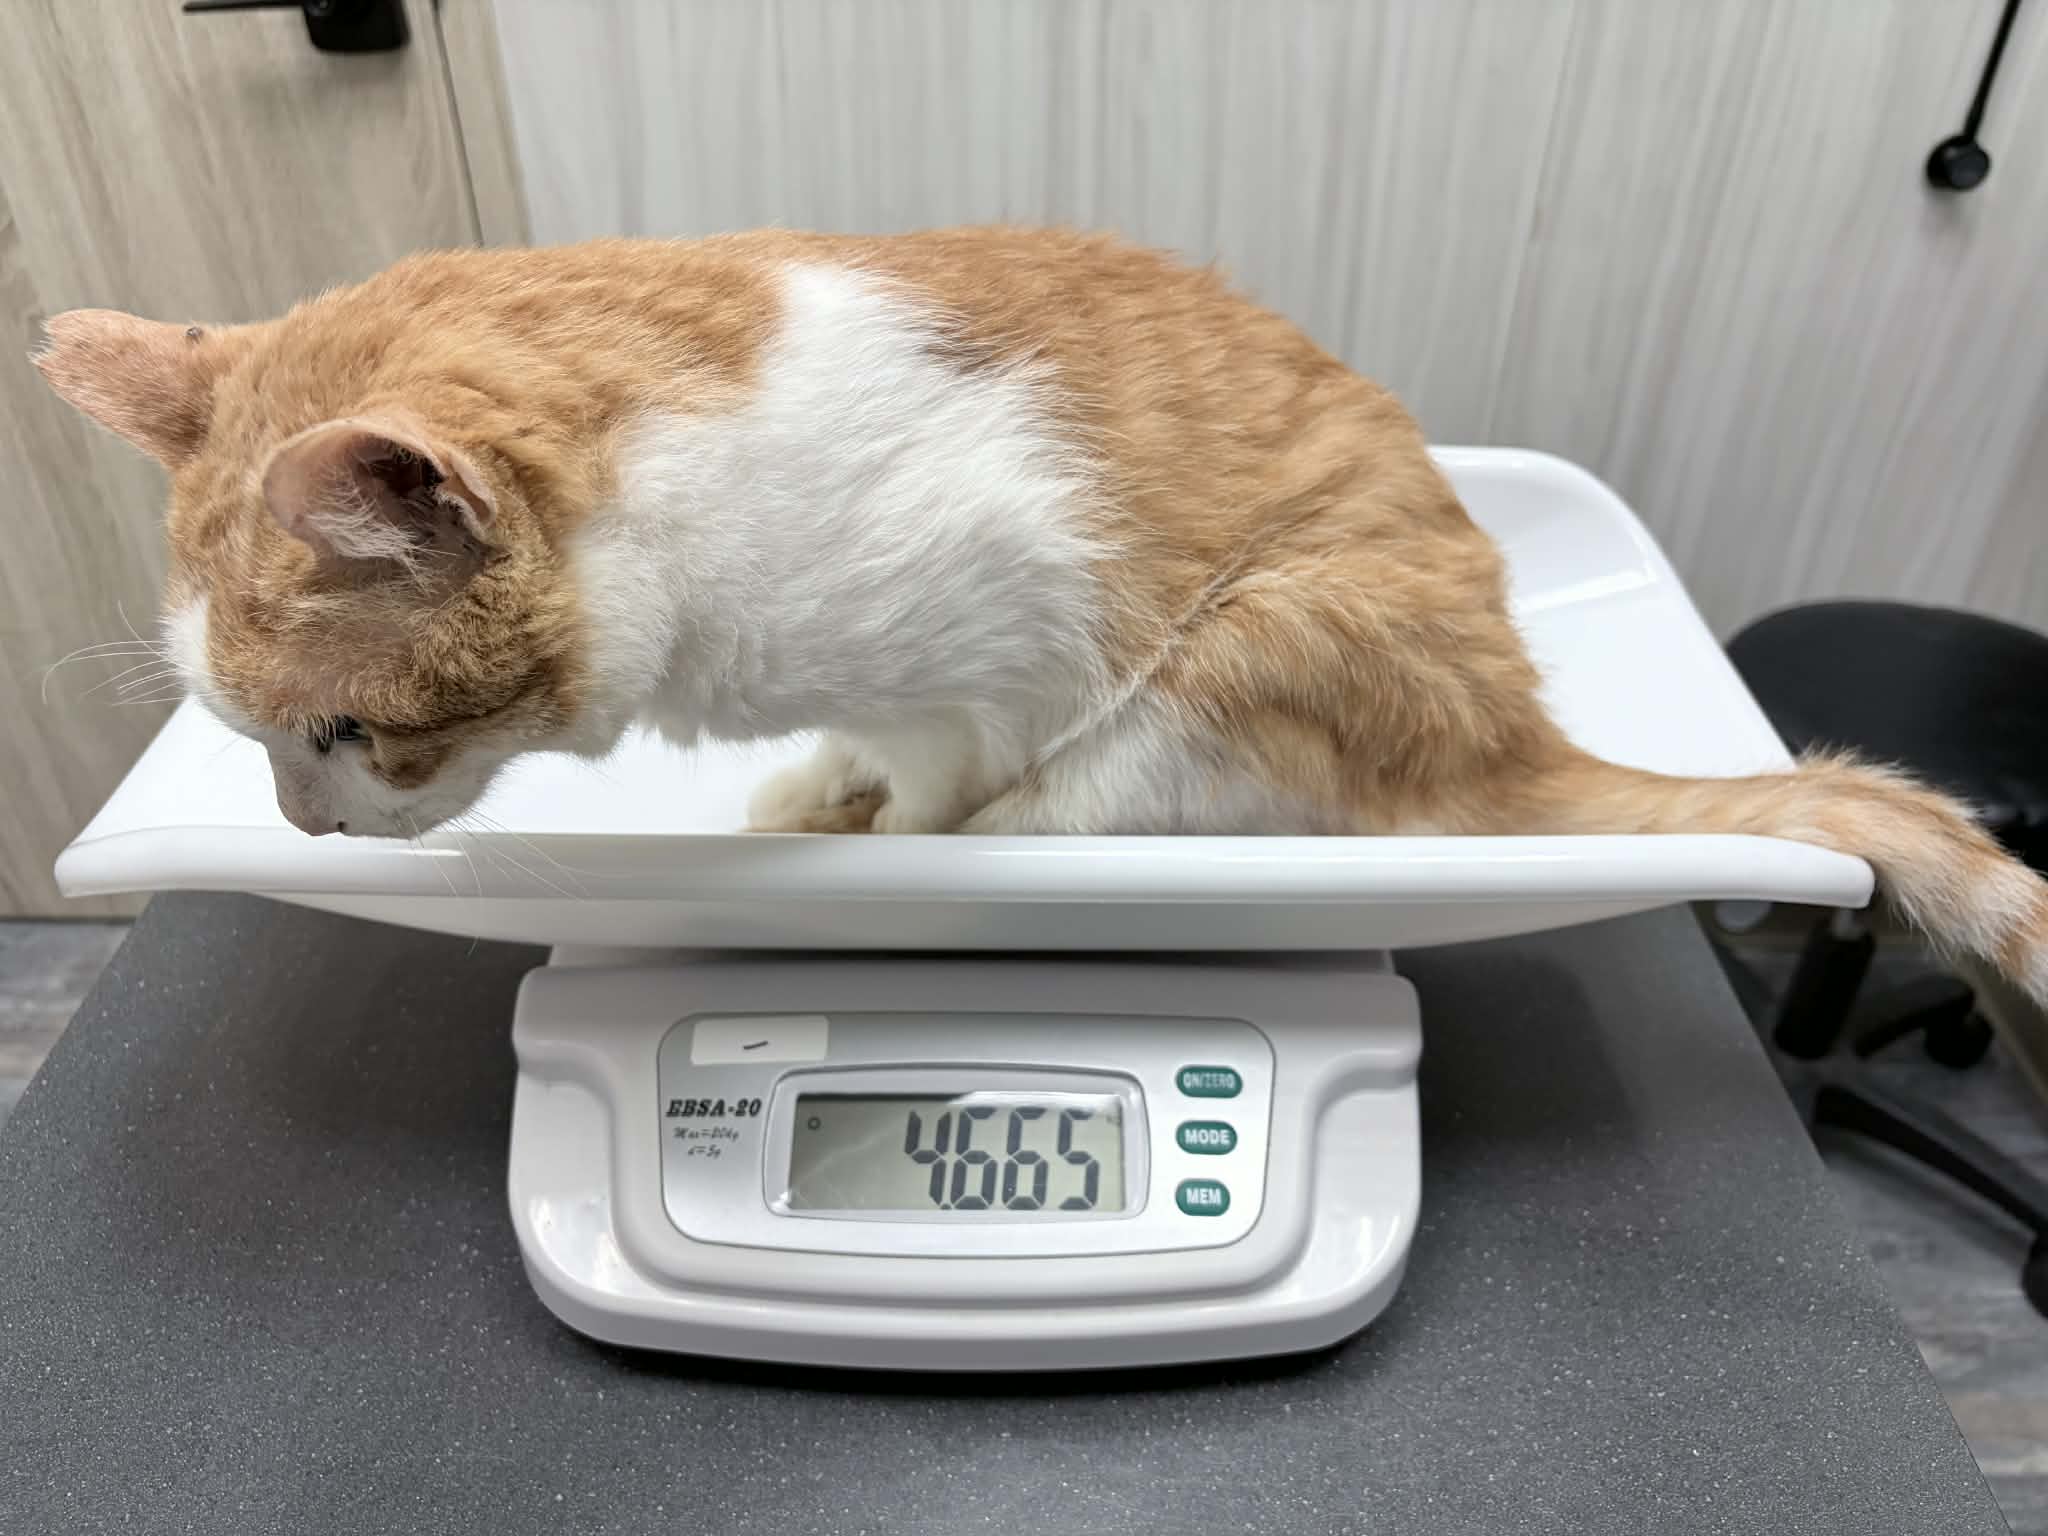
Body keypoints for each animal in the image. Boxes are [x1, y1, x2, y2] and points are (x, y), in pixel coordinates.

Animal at [34, 227, 2048, 1006]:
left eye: (347, 737)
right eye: (251, 746)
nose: (298, 830)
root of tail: (1517, 720)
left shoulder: (983, 659)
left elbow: (929, 790)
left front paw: (866, 852)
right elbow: (842, 754)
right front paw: (804, 793)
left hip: (1236, 655)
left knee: (1075, 801)